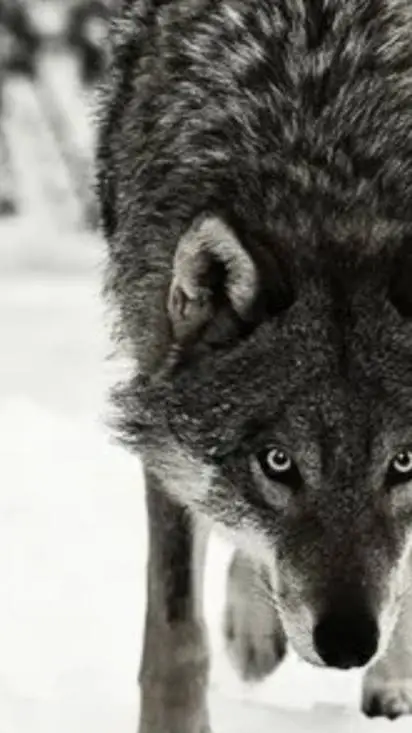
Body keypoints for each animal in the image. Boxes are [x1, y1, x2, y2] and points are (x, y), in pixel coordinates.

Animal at [97, 0, 412, 730]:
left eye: (405, 462)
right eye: (277, 462)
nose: (348, 643)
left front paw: (391, 671)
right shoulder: (163, 412)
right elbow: (175, 638)